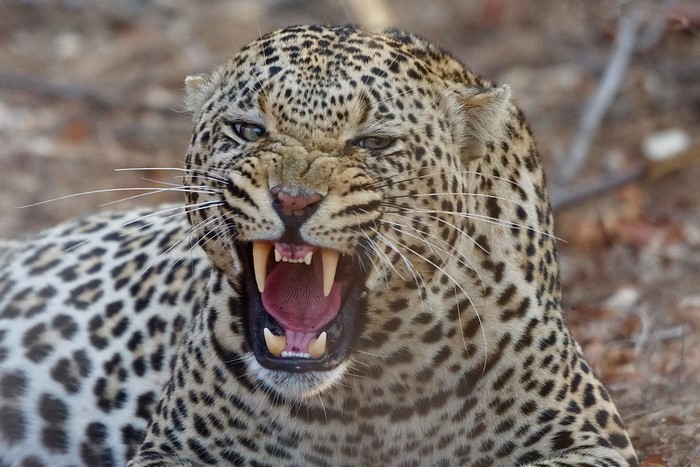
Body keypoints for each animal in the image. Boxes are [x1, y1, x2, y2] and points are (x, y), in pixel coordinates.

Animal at [0, 25, 638, 466]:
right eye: (248, 130)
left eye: (373, 143)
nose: (293, 200)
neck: (368, 390)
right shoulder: (176, 449)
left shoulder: (587, 437)